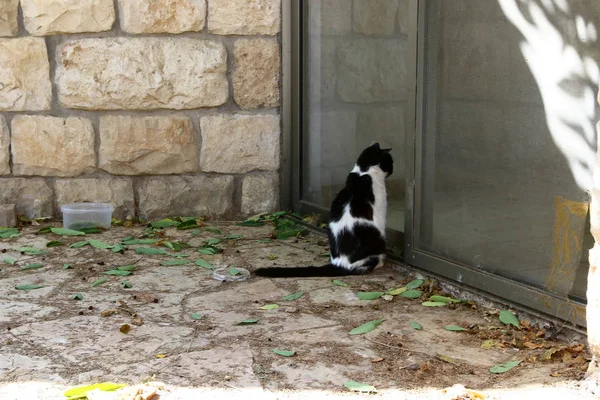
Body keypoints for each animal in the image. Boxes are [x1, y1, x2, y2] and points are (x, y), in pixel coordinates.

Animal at [254, 143, 392, 278]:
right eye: (390, 161)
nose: (391, 170)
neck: (362, 173)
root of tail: (339, 264)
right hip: (377, 239)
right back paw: (379, 264)